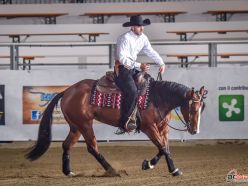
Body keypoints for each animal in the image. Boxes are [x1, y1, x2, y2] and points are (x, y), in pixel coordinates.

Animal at [25, 73, 207, 176]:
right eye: (192, 107)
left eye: (202, 107)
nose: (195, 130)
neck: (157, 98)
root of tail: (67, 91)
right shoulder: (149, 128)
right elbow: (163, 147)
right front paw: (173, 170)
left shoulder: (163, 128)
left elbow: (165, 148)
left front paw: (150, 164)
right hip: (85, 125)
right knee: (92, 147)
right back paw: (112, 170)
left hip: (75, 127)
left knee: (66, 145)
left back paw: (68, 171)